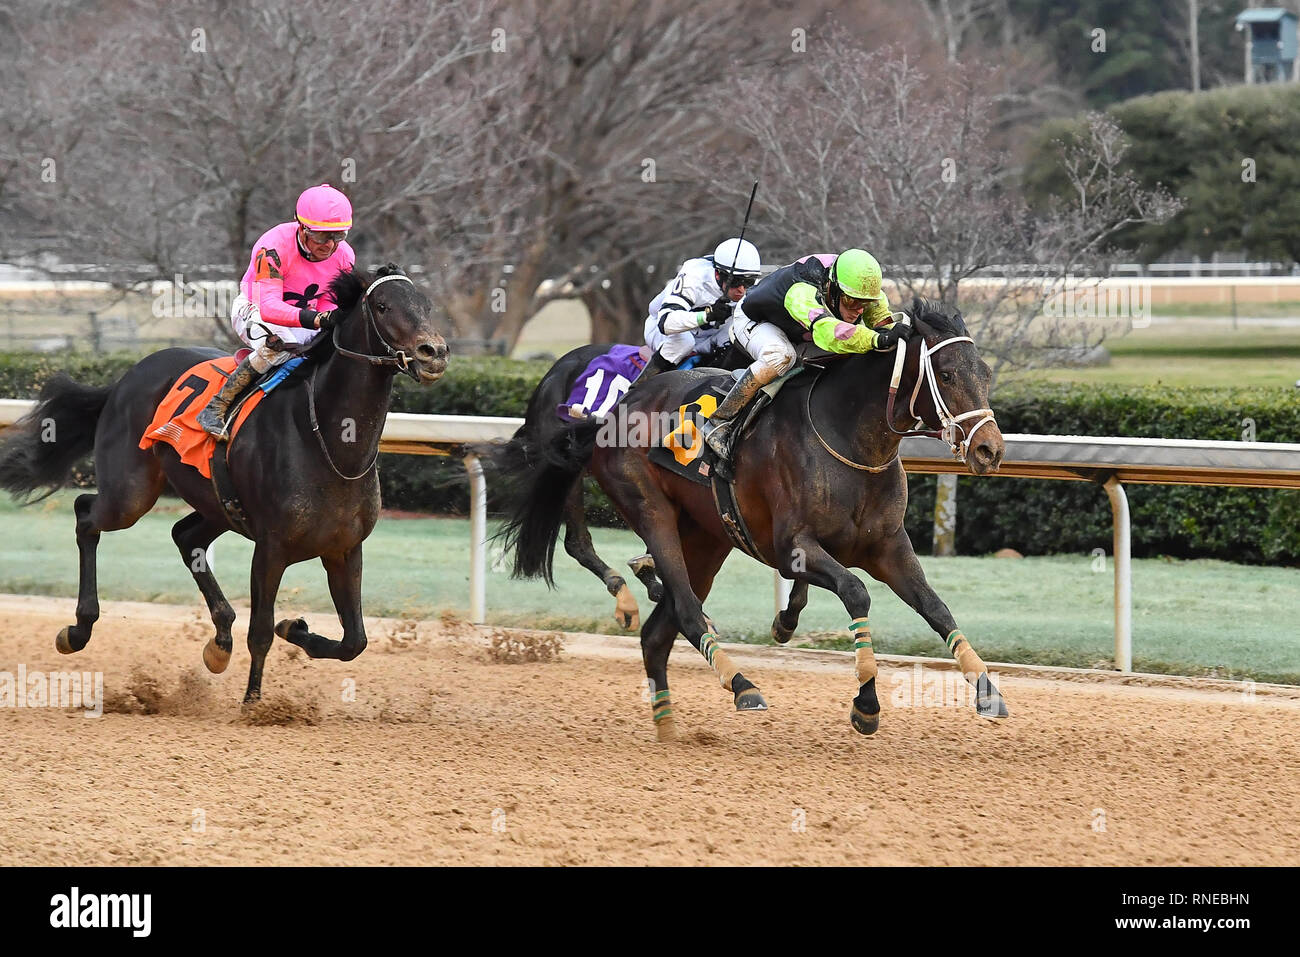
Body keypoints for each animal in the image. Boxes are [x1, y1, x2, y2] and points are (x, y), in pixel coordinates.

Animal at [0, 261, 447, 702]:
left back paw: (219, 642)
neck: (331, 444)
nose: (434, 352)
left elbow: (354, 640)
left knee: (184, 536)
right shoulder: (271, 548)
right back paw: (78, 629)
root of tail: (126, 377)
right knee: (86, 515)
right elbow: (262, 632)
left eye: (426, 304)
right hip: (130, 493)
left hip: (216, 502)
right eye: (384, 306)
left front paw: (295, 628)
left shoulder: (344, 548)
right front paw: (253, 704)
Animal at [493, 299, 1003, 738]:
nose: (989, 450)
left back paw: (669, 728)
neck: (848, 438)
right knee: (680, 607)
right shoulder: (793, 547)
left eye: (985, 372)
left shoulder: (888, 547)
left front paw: (988, 690)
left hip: (707, 537)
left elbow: (936, 608)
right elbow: (856, 592)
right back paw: (742, 685)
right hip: (651, 510)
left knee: (657, 634)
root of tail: (615, 410)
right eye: (947, 373)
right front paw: (865, 705)